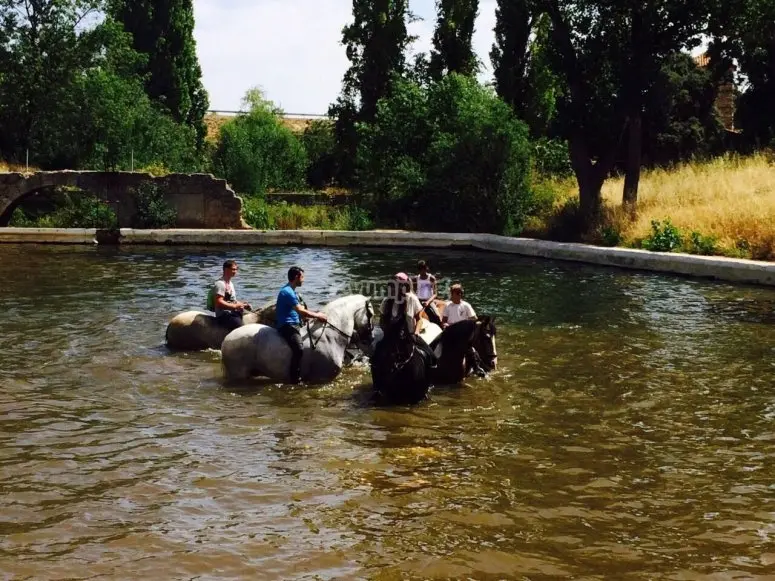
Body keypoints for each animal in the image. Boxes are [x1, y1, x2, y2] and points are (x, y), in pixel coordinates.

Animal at [221, 294, 376, 386]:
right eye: (371, 314)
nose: (371, 339)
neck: (330, 335)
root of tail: (227, 338)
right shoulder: (321, 380)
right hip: (239, 374)